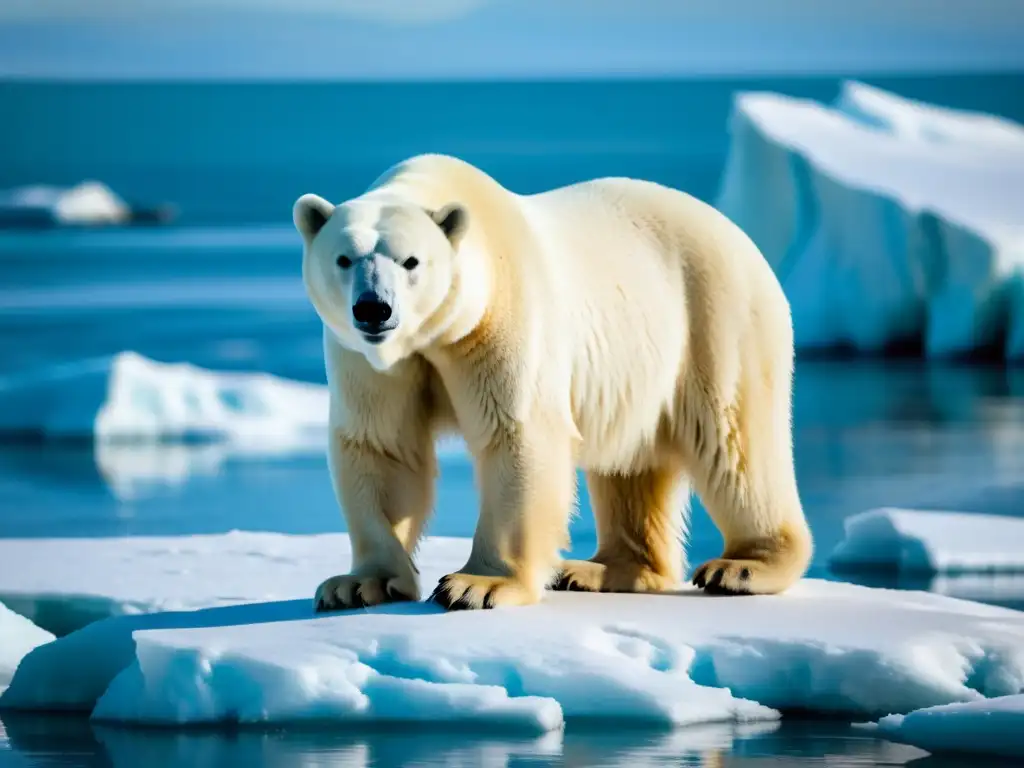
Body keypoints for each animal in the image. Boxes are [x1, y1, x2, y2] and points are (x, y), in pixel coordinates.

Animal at [292, 154, 811, 614]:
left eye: (411, 261)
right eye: (344, 258)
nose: (373, 308)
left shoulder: (501, 317)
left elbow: (516, 434)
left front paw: (475, 585)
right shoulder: (372, 360)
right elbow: (382, 444)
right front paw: (357, 584)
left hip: (714, 318)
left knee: (735, 444)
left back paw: (741, 567)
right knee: (633, 462)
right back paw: (599, 569)